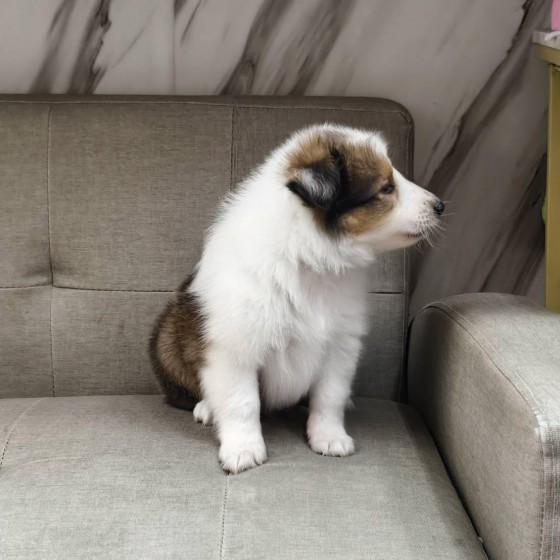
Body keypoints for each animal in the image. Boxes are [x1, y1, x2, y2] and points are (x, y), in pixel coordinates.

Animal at [150, 124, 444, 474]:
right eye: (386, 188)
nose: (440, 205)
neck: (310, 262)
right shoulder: (235, 346)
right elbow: (241, 401)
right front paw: (243, 450)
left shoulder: (341, 346)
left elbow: (329, 397)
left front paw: (329, 437)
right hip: (167, 338)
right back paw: (207, 408)